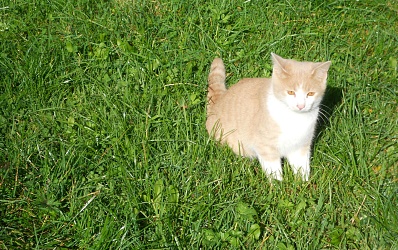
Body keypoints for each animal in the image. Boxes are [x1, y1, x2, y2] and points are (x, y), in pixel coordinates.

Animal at [207, 53, 332, 182]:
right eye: (291, 92)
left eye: (310, 94)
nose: (300, 106)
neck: (295, 118)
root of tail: (219, 99)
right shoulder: (265, 147)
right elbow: (273, 169)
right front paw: (278, 184)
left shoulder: (301, 146)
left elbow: (301, 167)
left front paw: (303, 182)